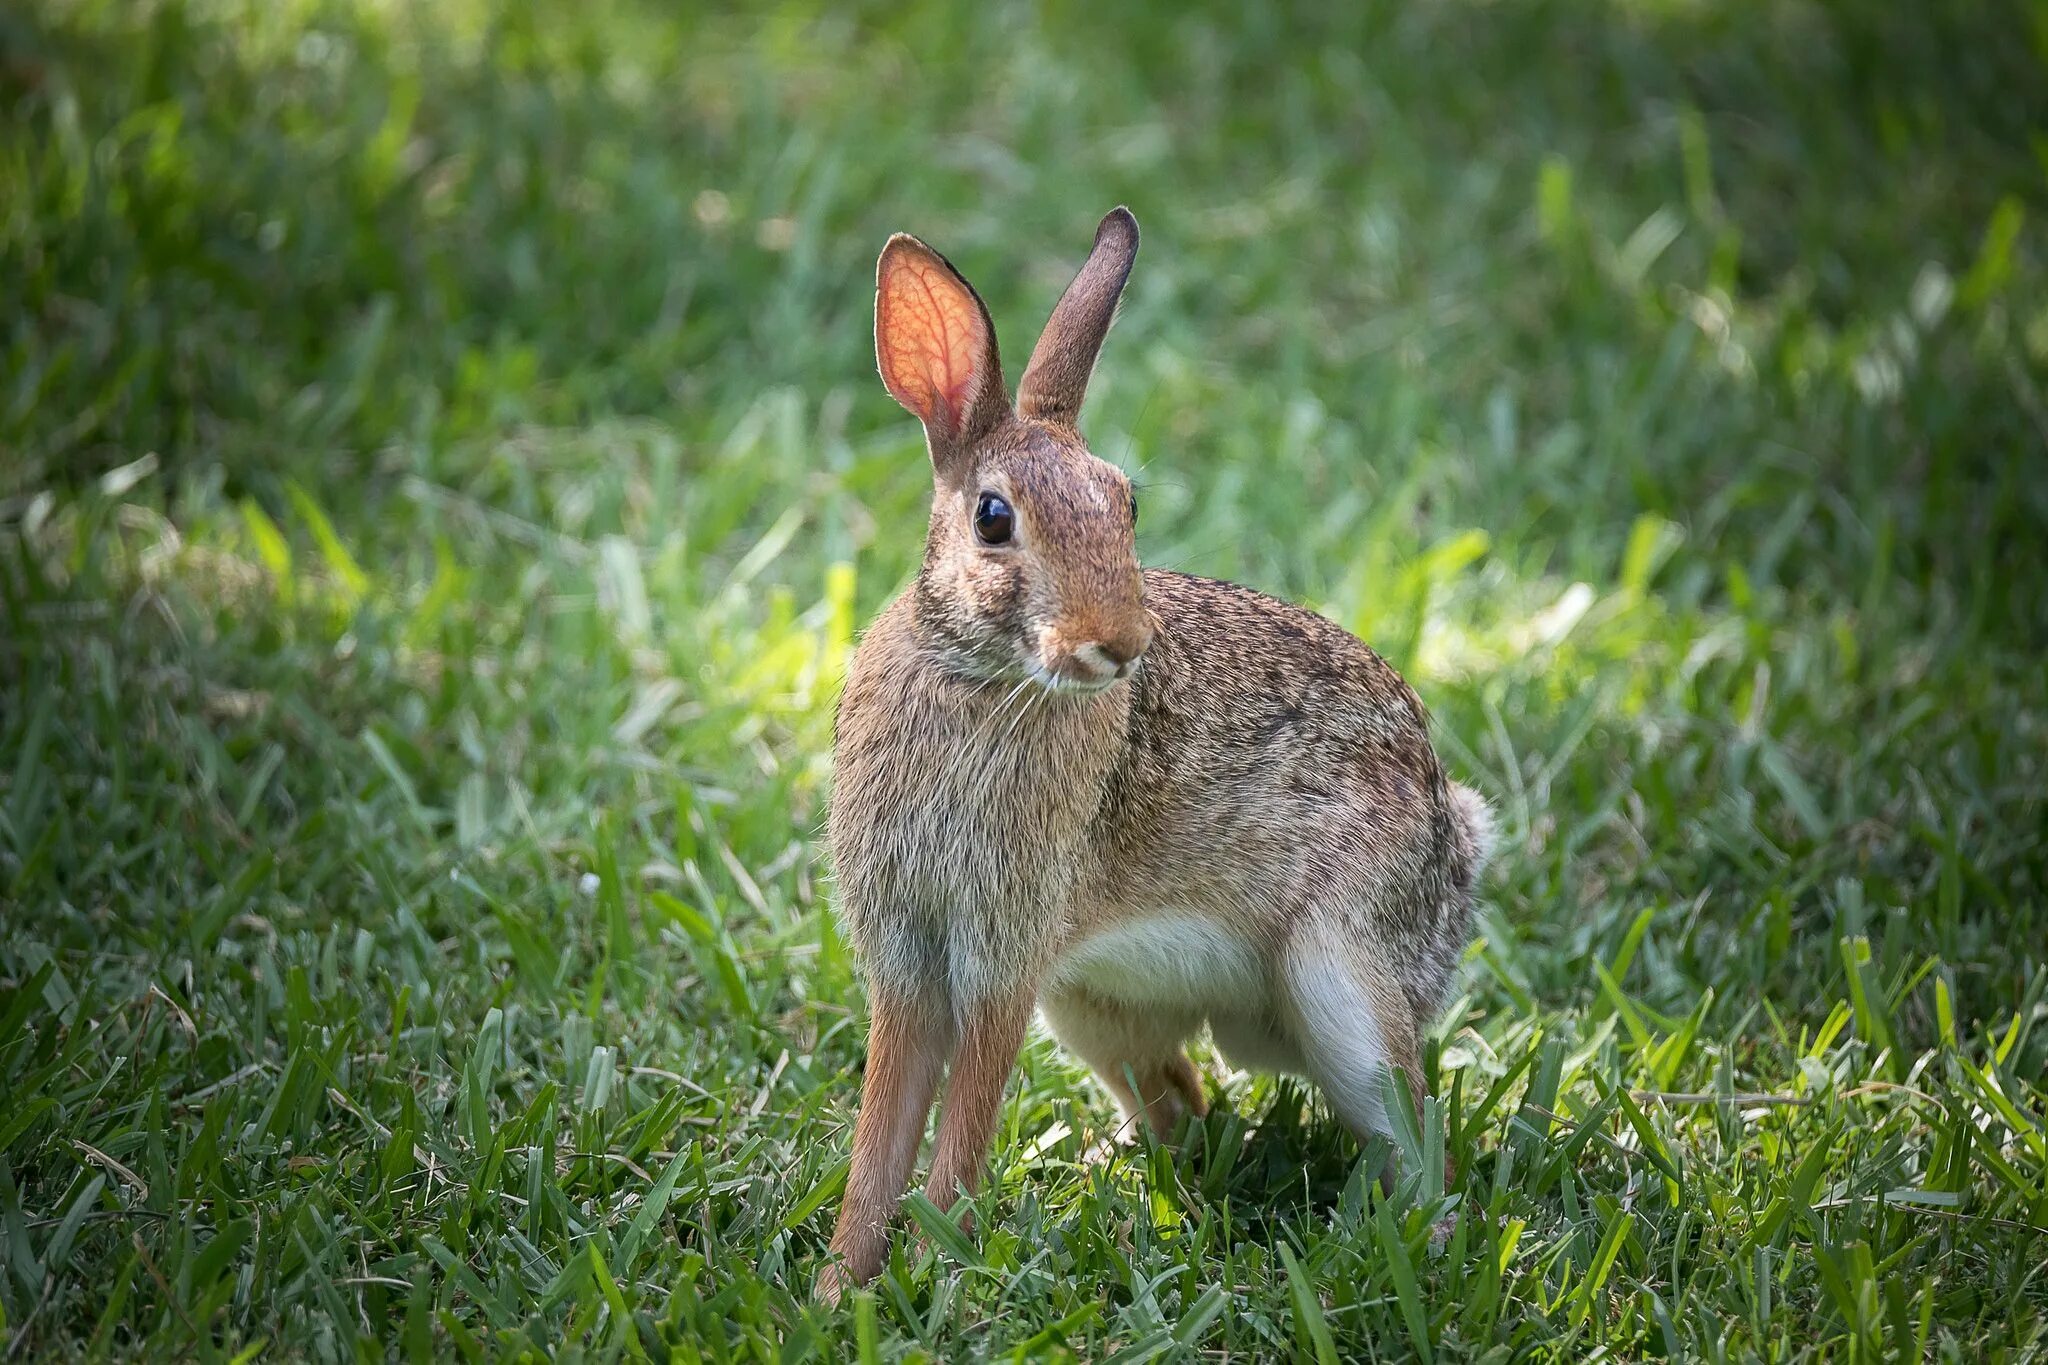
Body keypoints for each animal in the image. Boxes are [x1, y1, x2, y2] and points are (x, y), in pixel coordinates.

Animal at [815, 205, 1507, 1301]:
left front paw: (938, 1279)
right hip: (1090, 1006)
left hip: (1337, 979)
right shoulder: (911, 960)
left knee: (1408, 1134)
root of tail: (1455, 839)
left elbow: (956, 1134)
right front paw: (841, 1291)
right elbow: (881, 1140)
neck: (980, 680)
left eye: (1124, 504)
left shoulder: (1001, 960)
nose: (1119, 644)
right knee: (1184, 1102)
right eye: (994, 518)